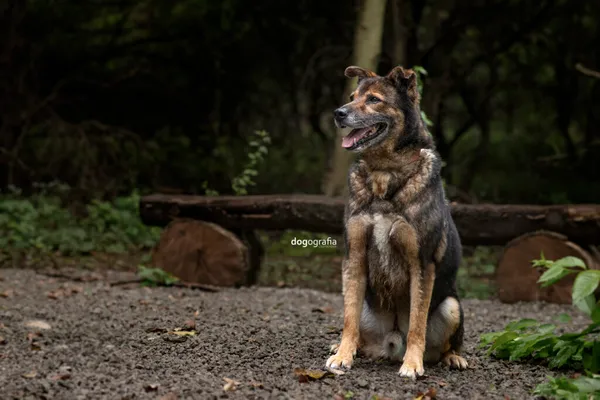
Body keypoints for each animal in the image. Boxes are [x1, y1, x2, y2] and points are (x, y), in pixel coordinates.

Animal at [326, 65, 466, 378]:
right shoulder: (354, 256)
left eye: (374, 99)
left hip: (452, 306)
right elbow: (349, 319)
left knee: (446, 344)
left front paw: (412, 363)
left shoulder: (422, 263)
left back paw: (453, 357)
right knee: (354, 324)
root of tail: (390, 342)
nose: (338, 113)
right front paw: (343, 355)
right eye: (352, 97)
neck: (384, 172)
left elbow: (417, 323)